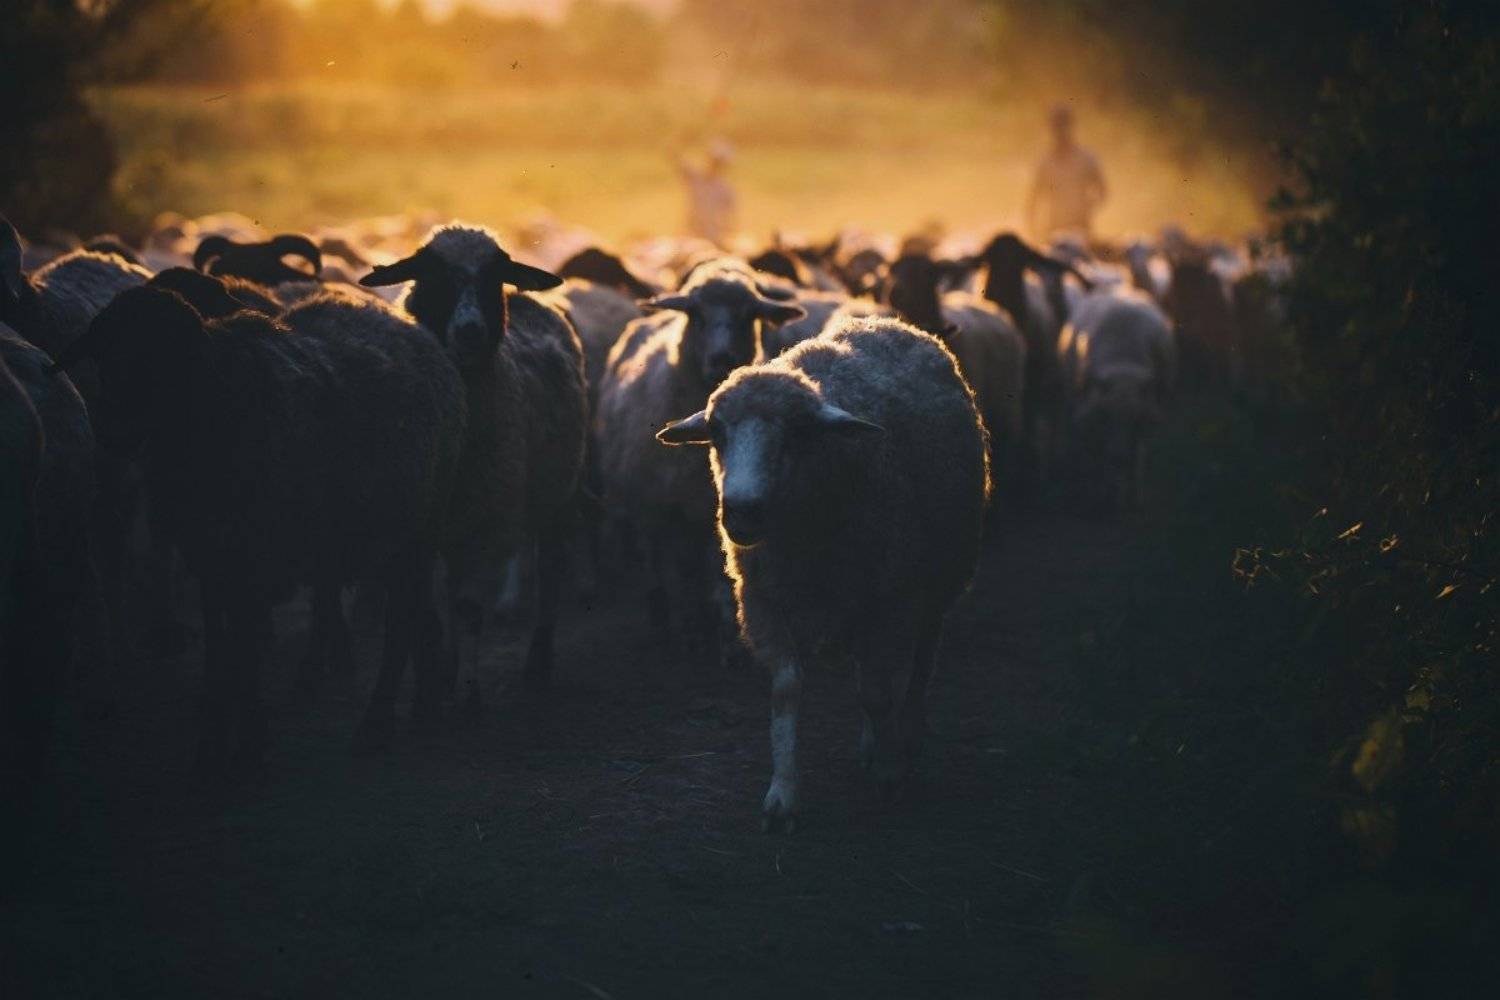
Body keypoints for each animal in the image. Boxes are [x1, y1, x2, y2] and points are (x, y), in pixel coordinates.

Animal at [54, 280, 466, 770]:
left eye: (167, 356)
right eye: (107, 353)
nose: (113, 431)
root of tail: (413, 331)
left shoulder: (252, 554)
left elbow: (245, 645)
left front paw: (249, 745)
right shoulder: (209, 558)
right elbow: (220, 649)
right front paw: (214, 743)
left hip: (419, 528)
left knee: (402, 619)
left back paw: (376, 725)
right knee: (414, 611)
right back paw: (422, 704)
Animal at [359, 224, 587, 705]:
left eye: (494, 276)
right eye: (431, 273)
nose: (469, 332)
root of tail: (530, 301)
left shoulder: (485, 520)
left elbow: (467, 608)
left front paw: (468, 695)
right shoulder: (424, 527)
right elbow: (428, 608)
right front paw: (439, 680)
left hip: (558, 492)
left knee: (551, 572)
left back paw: (538, 662)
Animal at [594, 258, 803, 657]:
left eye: (749, 314)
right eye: (696, 313)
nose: (722, 359)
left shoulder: (716, 517)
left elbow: (718, 581)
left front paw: (726, 641)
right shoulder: (661, 511)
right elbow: (672, 575)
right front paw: (683, 628)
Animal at [656, 315, 989, 829]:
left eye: (796, 432)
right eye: (715, 432)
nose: (740, 512)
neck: (803, 537)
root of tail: (888, 322)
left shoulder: (889, 599)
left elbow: (878, 693)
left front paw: (889, 774)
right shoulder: (766, 600)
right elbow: (788, 691)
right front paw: (782, 794)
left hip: (936, 579)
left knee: (920, 665)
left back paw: (907, 736)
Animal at [1057, 288, 1176, 509]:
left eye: (1135, 417)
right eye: (1106, 414)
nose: (1119, 457)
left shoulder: (1145, 420)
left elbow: (1138, 455)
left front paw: (1132, 496)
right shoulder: (1091, 418)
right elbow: (1099, 454)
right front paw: (1104, 493)